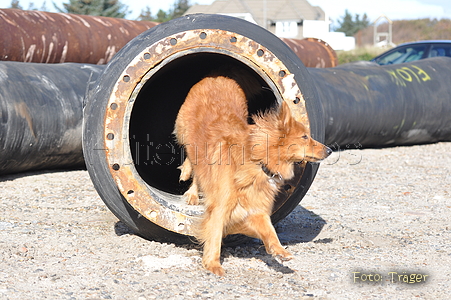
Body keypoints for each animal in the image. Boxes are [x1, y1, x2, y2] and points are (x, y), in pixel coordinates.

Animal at [175, 74, 330, 276]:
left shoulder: (257, 209)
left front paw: (279, 251)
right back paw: (190, 186)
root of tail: (217, 76)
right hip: (186, 132)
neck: (258, 161)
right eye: (305, 137)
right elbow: (215, 235)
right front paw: (213, 264)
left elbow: (270, 230)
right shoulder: (220, 207)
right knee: (190, 159)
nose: (330, 150)